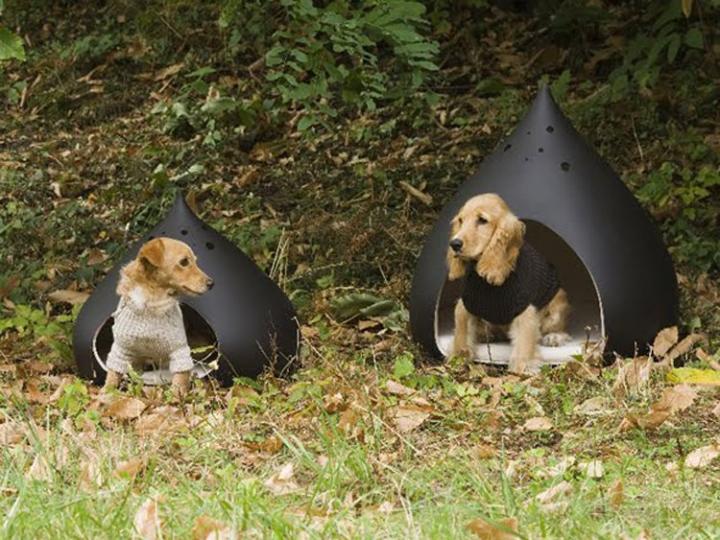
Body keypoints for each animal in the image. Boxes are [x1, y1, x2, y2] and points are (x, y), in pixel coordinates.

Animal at [102, 238, 212, 394]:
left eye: (195, 261)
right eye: (184, 262)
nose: (211, 283)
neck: (151, 300)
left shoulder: (179, 350)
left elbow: (180, 379)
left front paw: (176, 396)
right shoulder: (121, 348)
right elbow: (112, 375)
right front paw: (105, 393)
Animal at [448, 194, 572, 376]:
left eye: (482, 220)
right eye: (460, 220)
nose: (455, 244)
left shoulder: (523, 310)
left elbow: (524, 344)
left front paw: (522, 369)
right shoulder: (466, 305)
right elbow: (461, 333)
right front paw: (457, 359)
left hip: (557, 306)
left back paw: (555, 337)